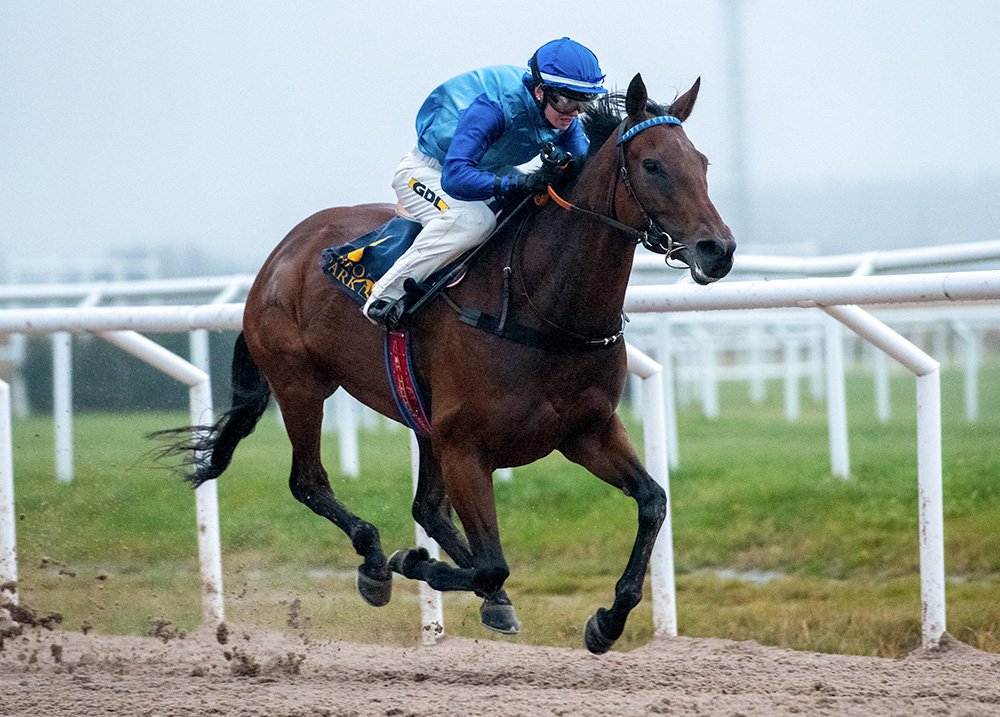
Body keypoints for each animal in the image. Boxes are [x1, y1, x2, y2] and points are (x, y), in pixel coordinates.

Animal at [158, 74, 736, 656]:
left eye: (703, 162)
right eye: (652, 165)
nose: (719, 250)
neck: (544, 308)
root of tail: (277, 258)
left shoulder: (586, 431)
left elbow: (652, 501)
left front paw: (608, 620)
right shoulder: (466, 446)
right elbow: (492, 562)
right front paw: (411, 562)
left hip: (420, 417)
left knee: (426, 509)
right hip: (300, 384)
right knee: (310, 482)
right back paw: (376, 561)